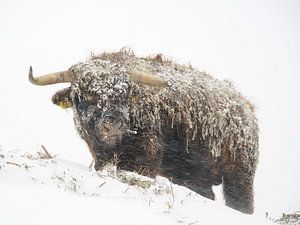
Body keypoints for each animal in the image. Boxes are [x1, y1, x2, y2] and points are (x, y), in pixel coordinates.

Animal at [28, 49, 258, 214]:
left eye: (125, 93)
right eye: (81, 96)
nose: (114, 124)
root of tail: (245, 108)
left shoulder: (145, 160)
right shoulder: (102, 158)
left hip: (239, 176)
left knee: (241, 202)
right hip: (194, 177)